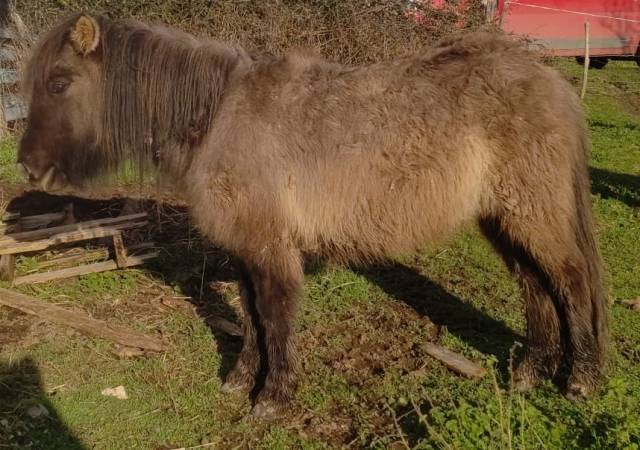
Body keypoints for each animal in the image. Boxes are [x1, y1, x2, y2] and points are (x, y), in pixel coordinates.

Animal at [18, 13, 607, 419]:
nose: (27, 167)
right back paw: (530, 373)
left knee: (571, 282)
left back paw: (582, 379)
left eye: (60, 82)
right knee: (535, 286)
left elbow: (275, 315)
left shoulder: (270, 247)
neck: (220, 116)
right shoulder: (247, 248)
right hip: (503, 220)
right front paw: (240, 381)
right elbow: (251, 314)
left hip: (533, 215)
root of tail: (551, 83)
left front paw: (273, 399)